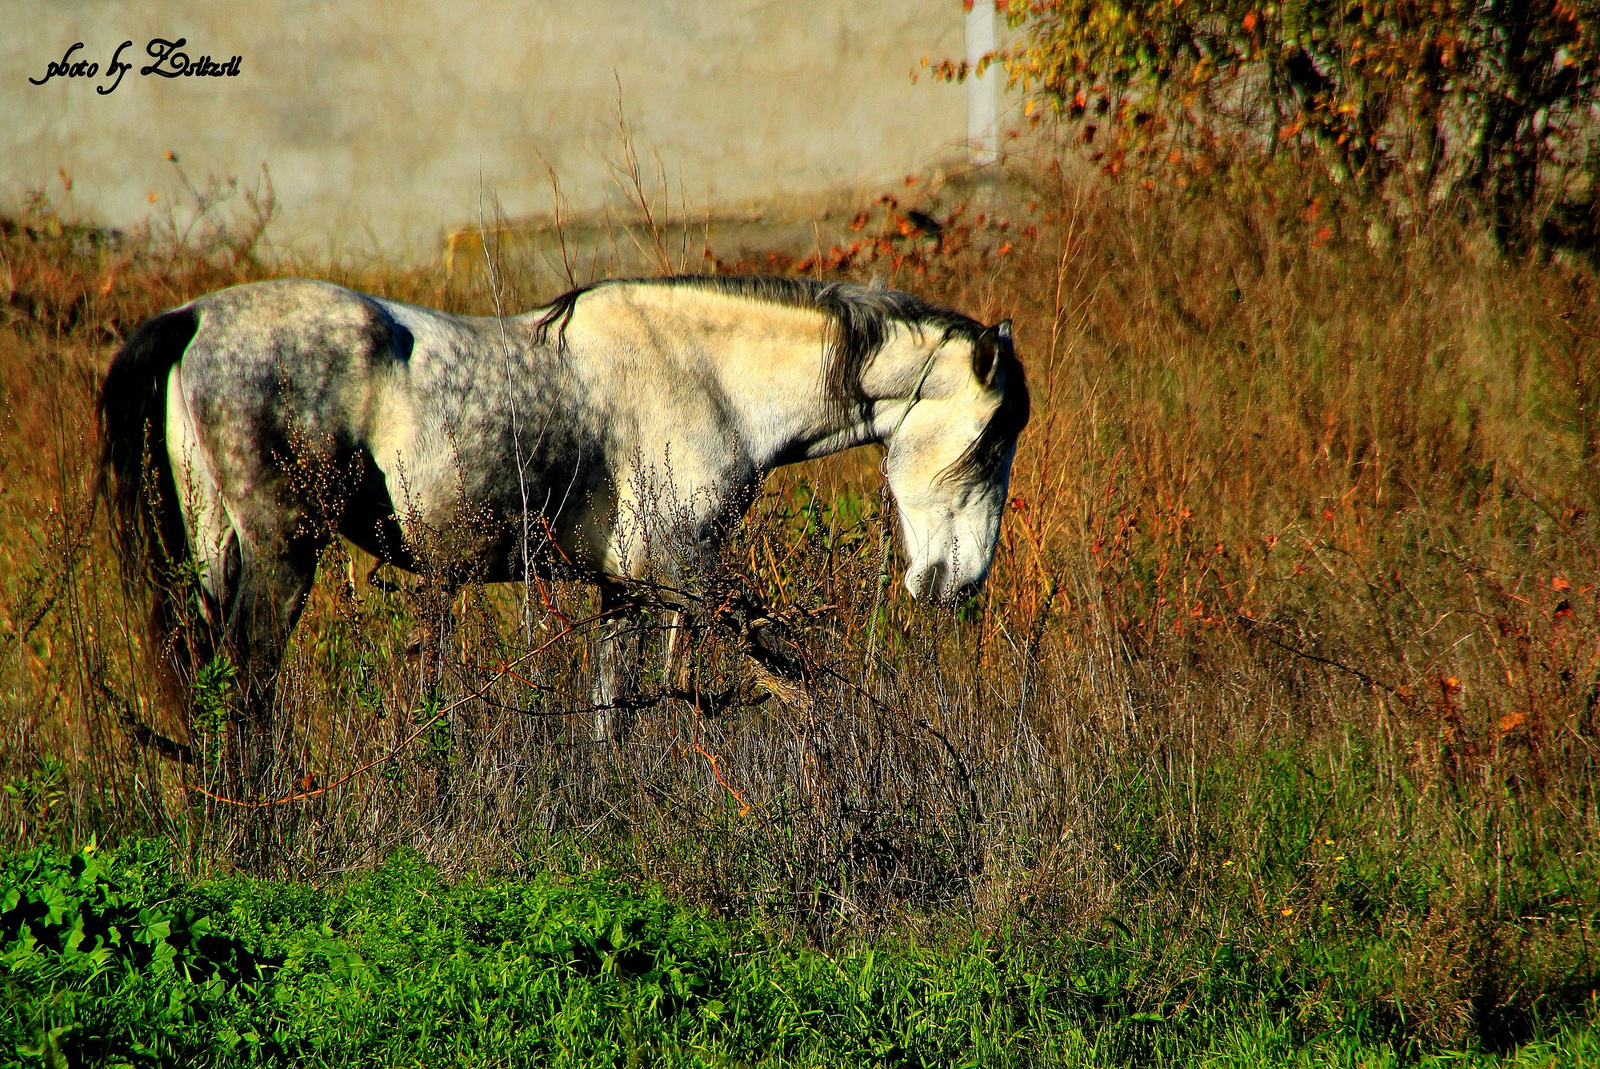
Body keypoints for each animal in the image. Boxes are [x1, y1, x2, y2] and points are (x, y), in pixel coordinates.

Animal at [96, 268, 1024, 768]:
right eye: (989, 442)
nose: (957, 582)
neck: (706, 374)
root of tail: (194, 319)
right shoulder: (688, 579)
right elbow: (791, 677)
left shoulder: (626, 591)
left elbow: (615, 714)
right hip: (282, 556)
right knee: (248, 688)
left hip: (214, 557)